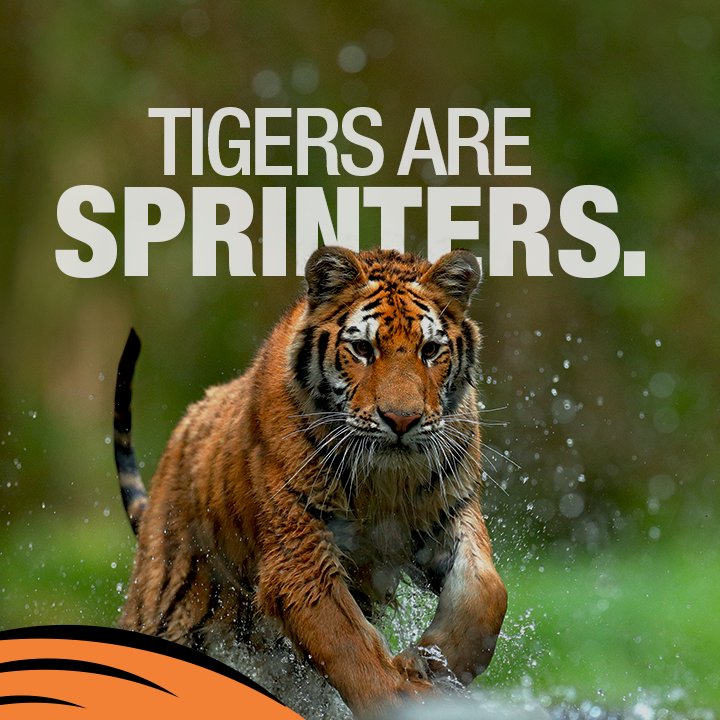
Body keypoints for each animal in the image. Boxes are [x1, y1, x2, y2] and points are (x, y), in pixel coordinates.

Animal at [114, 246, 507, 717]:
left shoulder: (451, 512)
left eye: (430, 350)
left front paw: (428, 665)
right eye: (362, 348)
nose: (401, 420)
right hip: (167, 607)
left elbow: (486, 592)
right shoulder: (298, 554)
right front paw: (406, 694)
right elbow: (348, 646)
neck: (385, 481)